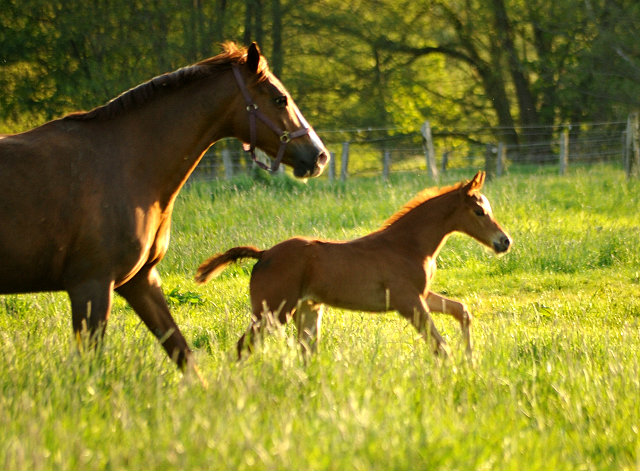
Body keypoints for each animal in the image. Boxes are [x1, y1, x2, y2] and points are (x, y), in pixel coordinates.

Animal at [0, 42, 330, 378]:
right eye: (279, 99)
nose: (319, 156)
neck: (123, 164)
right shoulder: (90, 286)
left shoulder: (140, 281)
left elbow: (182, 353)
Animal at [195, 171, 510, 360]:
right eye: (479, 211)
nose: (504, 242)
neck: (408, 245)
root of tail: (263, 254)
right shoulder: (408, 302)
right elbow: (439, 345)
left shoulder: (420, 295)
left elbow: (462, 311)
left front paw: (470, 359)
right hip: (273, 311)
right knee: (243, 347)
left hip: (307, 309)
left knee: (304, 351)